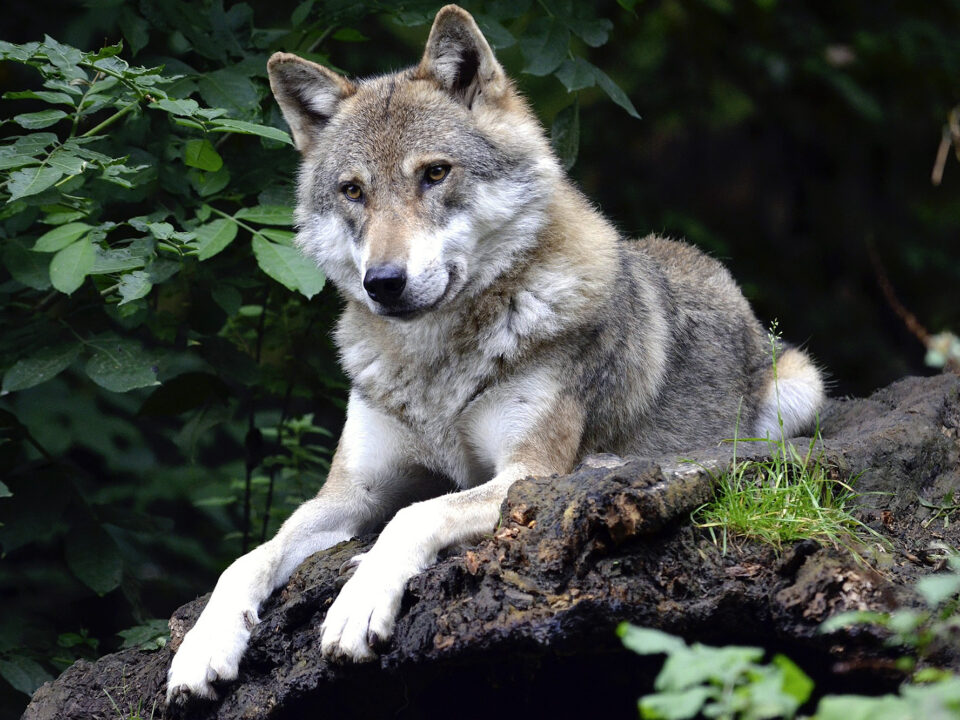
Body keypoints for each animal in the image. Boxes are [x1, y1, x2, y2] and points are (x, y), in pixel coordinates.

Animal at [166, 4, 825, 703]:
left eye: (434, 173)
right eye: (353, 191)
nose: (383, 282)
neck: (434, 367)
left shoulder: (523, 474)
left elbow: (414, 516)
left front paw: (357, 603)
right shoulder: (349, 494)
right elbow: (248, 558)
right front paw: (203, 646)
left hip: (798, 390)